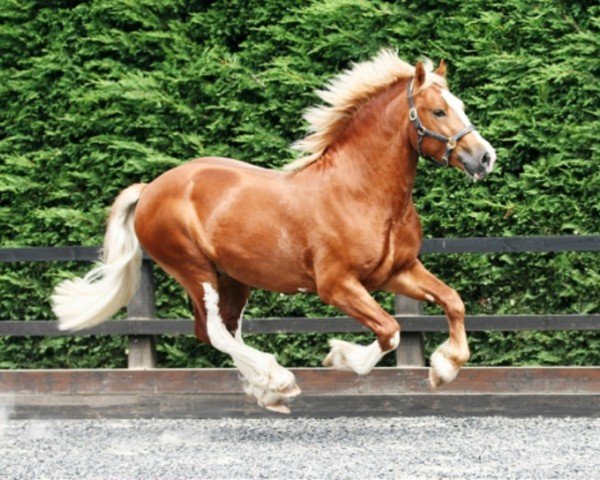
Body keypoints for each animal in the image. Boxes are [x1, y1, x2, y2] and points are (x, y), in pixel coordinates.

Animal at [51, 50, 494, 414]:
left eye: (460, 106)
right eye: (438, 111)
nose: (485, 157)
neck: (361, 192)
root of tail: (150, 189)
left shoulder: (397, 271)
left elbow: (453, 302)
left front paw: (444, 368)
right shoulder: (337, 285)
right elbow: (390, 331)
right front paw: (340, 357)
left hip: (233, 277)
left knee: (216, 331)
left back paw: (266, 389)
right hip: (194, 270)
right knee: (216, 331)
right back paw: (277, 379)